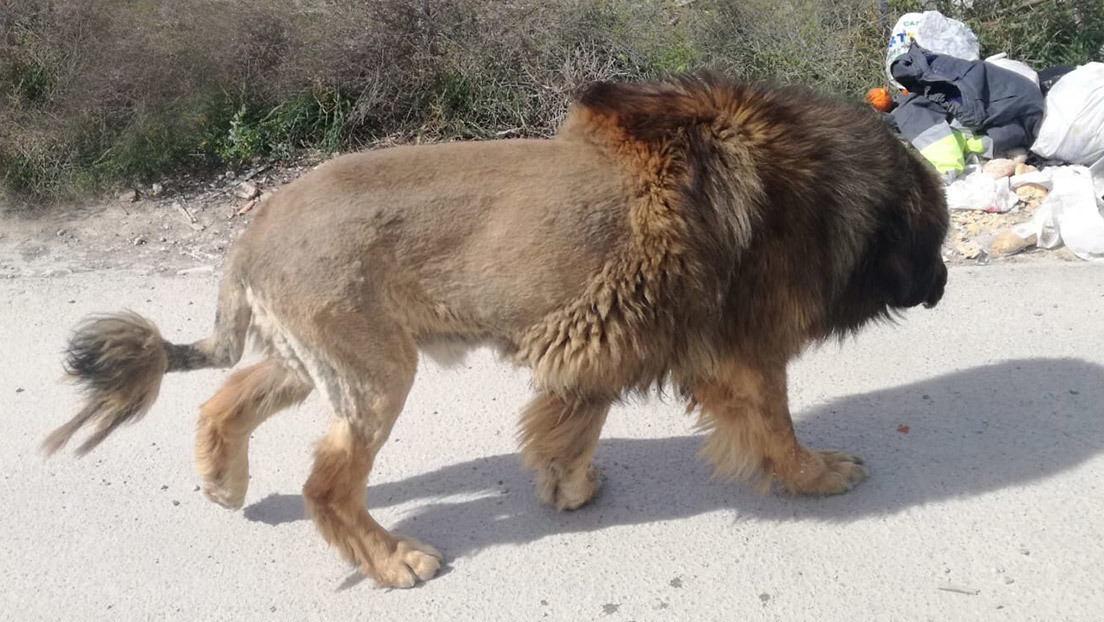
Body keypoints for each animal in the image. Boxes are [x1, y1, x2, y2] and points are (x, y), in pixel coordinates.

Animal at [42, 73, 948, 588]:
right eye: (936, 236)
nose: (943, 286)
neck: (813, 185)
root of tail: (252, 229)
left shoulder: (607, 339)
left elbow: (571, 424)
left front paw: (566, 487)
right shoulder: (740, 352)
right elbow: (776, 429)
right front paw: (818, 475)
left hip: (315, 361)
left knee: (222, 402)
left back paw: (222, 483)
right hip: (375, 373)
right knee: (325, 487)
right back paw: (394, 562)